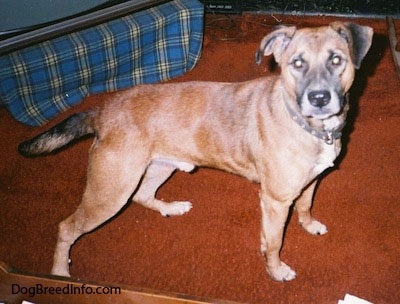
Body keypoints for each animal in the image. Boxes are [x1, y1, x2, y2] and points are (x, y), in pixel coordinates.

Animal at [18, 22, 374, 282]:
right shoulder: (274, 201)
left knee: (143, 195)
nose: (319, 98)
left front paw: (309, 225)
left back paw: (170, 208)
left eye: (336, 59)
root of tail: (102, 112)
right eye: (297, 63)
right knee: (67, 227)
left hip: (158, 168)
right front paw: (276, 271)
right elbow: (273, 244)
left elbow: (306, 206)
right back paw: (59, 274)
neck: (307, 124)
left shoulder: (308, 183)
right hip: (110, 191)